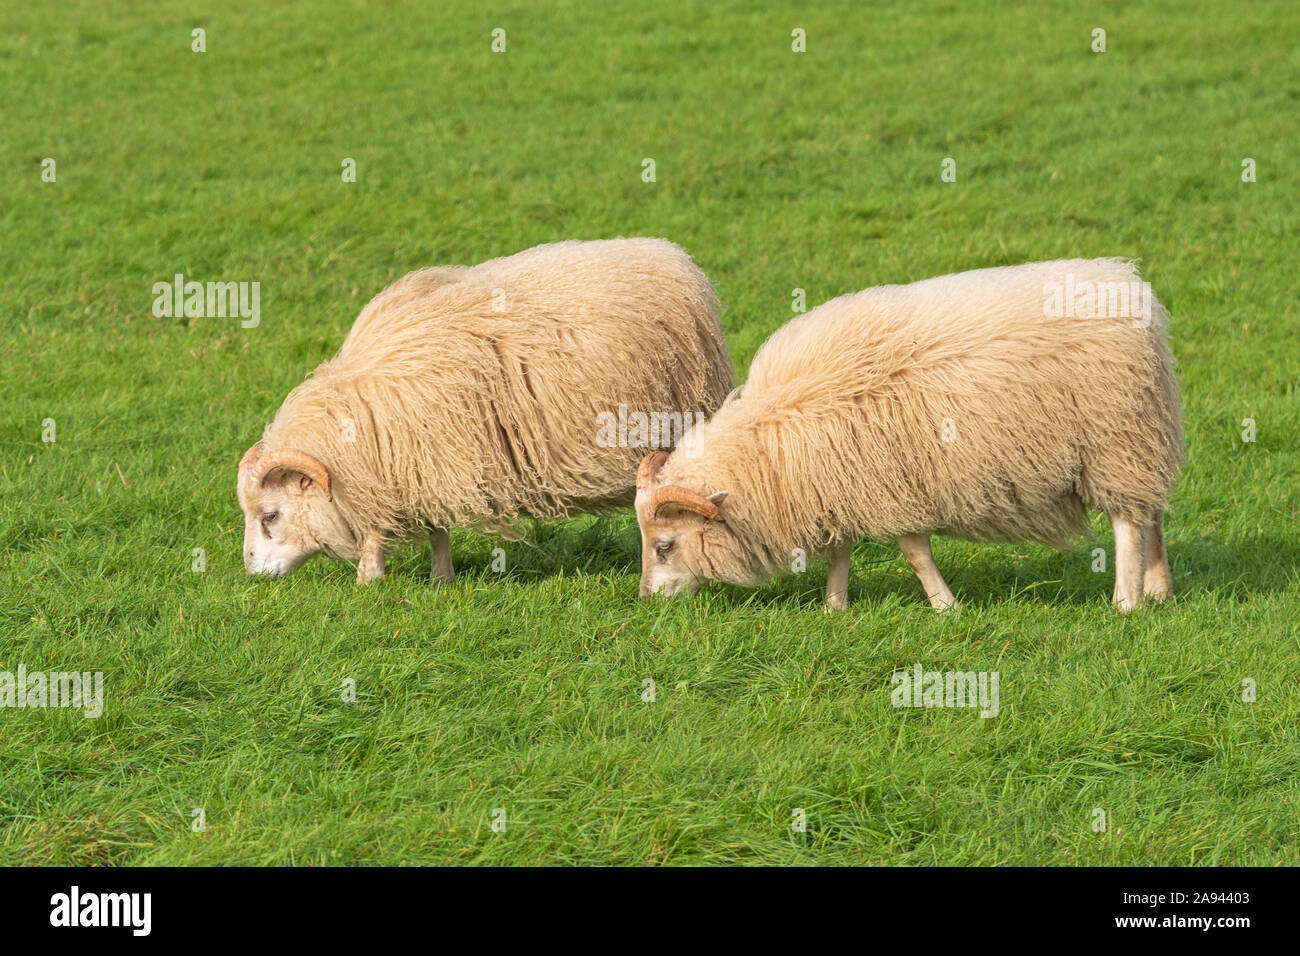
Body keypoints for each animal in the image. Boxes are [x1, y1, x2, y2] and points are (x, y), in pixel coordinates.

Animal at [238, 238, 734, 583]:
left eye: (269, 515)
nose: (252, 575)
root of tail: (678, 261)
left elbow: (383, 531)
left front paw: (369, 581)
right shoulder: (421, 465)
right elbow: (435, 527)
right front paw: (441, 578)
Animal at [634, 258, 1183, 612]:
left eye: (664, 546)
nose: (644, 600)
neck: (771, 445)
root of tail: (1135, 291)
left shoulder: (891, 484)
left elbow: (915, 552)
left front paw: (945, 607)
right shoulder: (842, 484)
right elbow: (840, 549)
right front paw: (835, 606)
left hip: (1116, 441)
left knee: (1127, 524)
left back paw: (1126, 602)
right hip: (1141, 441)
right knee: (1150, 515)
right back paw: (1159, 590)